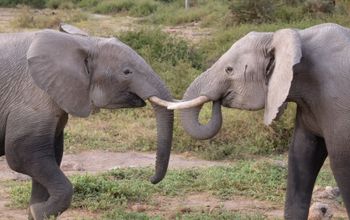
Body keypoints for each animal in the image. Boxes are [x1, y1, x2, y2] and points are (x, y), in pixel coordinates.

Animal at [0, 23, 175, 219]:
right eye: (126, 72)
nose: (151, 179)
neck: (83, 42)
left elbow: (51, 155)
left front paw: (35, 211)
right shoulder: (31, 96)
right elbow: (23, 154)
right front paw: (38, 211)